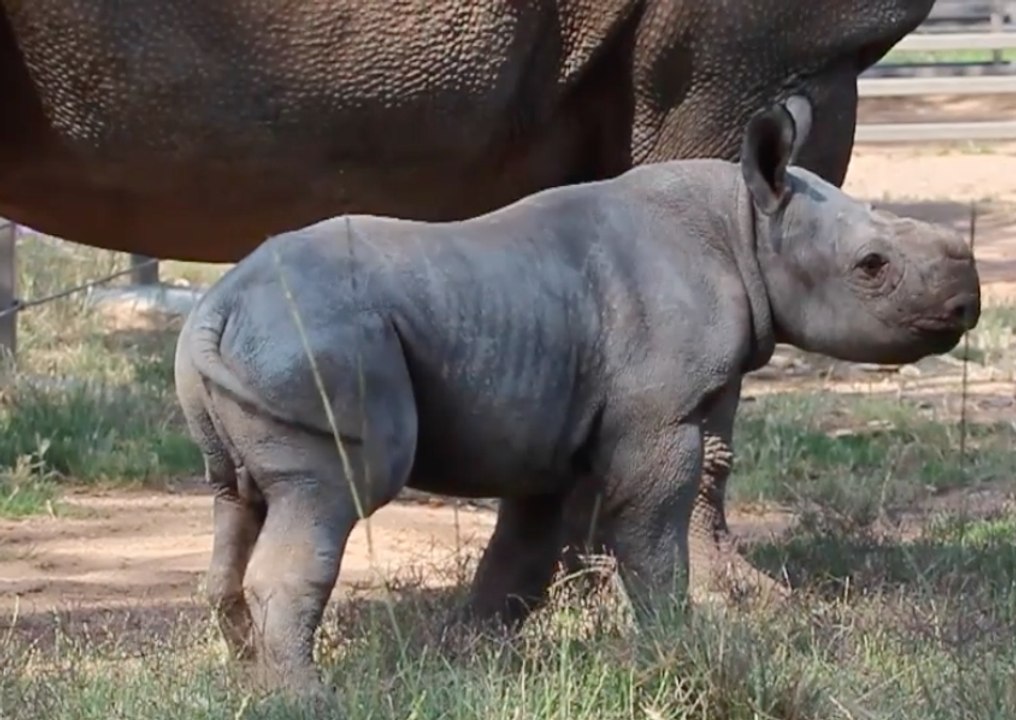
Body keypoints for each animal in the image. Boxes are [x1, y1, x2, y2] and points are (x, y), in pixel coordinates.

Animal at [173, 94, 980, 693]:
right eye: (872, 267)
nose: (968, 303)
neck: (748, 225)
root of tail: (219, 306)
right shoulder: (660, 416)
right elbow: (652, 533)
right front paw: (674, 645)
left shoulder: (549, 429)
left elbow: (520, 556)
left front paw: (470, 658)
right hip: (317, 336)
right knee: (333, 492)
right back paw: (307, 696)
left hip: (253, 348)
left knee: (237, 499)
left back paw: (247, 679)